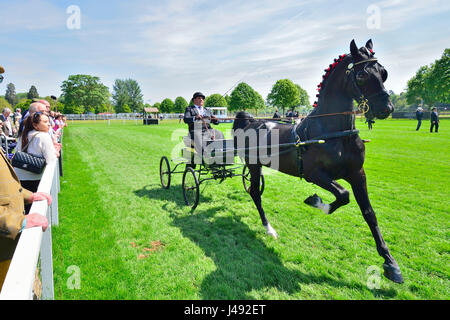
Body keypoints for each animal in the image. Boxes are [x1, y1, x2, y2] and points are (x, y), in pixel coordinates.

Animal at [234, 39, 402, 282]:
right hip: (254, 165)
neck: (334, 133)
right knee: (255, 193)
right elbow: (343, 194)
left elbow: (369, 213)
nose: (386, 109)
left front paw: (390, 263)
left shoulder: (357, 174)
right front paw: (315, 201)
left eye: (383, 72)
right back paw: (269, 228)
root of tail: (250, 121)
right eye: (361, 75)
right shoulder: (315, 174)